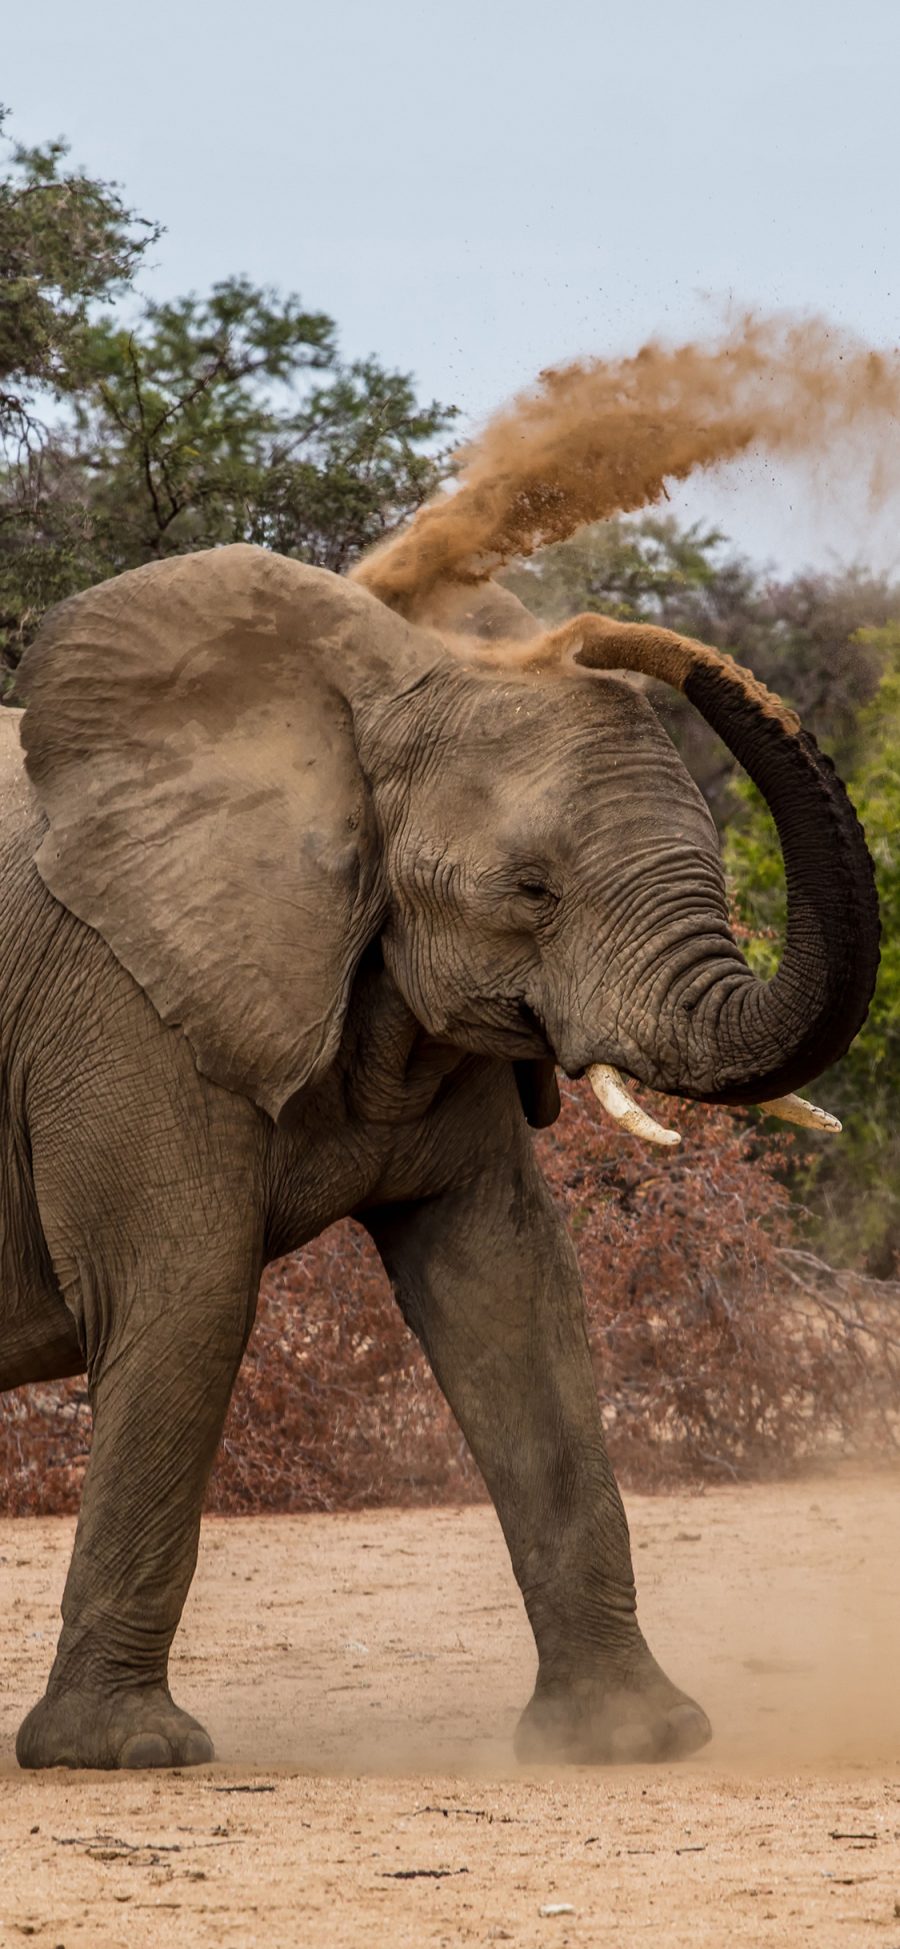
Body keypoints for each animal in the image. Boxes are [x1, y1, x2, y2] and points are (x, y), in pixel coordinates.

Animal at [0, 541, 880, 1777]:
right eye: (532, 890)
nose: (593, 632)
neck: (344, 720)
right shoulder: (128, 1001)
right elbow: (183, 1300)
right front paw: (122, 1752)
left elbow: (509, 1289)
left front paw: (632, 1737)